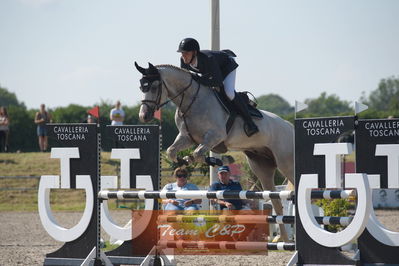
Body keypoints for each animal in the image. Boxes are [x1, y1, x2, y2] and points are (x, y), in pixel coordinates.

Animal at [136, 62, 296, 241]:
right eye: (141, 87)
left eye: (154, 87)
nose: (143, 116)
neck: (191, 100)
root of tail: (289, 126)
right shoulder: (186, 137)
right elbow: (172, 151)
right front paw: (185, 161)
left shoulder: (215, 136)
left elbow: (198, 153)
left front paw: (214, 160)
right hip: (262, 168)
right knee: (277, 203)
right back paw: (282, 239)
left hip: (286, 163)